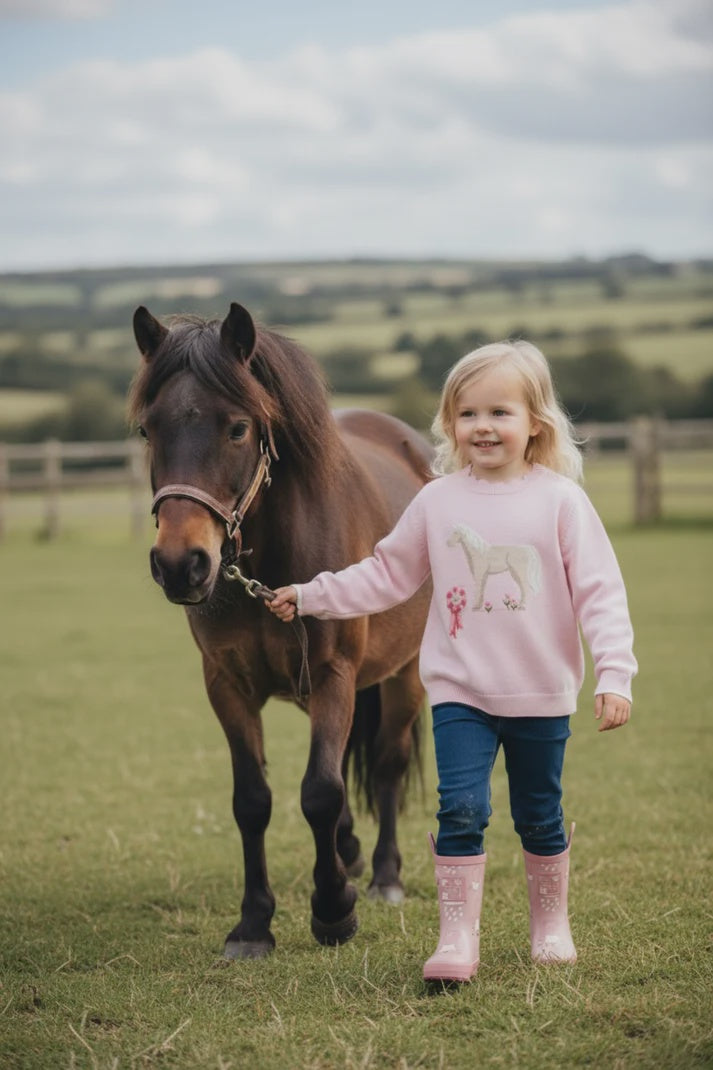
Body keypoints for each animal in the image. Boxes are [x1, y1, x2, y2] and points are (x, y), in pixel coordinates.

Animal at [129, 301, 434, 959]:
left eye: (238, 428)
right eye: (148, 430)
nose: (180, 563)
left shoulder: (333, 674)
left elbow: (319, 790)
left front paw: (334, 911)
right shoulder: (227, 686)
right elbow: (253, 801)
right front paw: (253, 923)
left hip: (405, 676)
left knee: (387, 763)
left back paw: (383, 876)